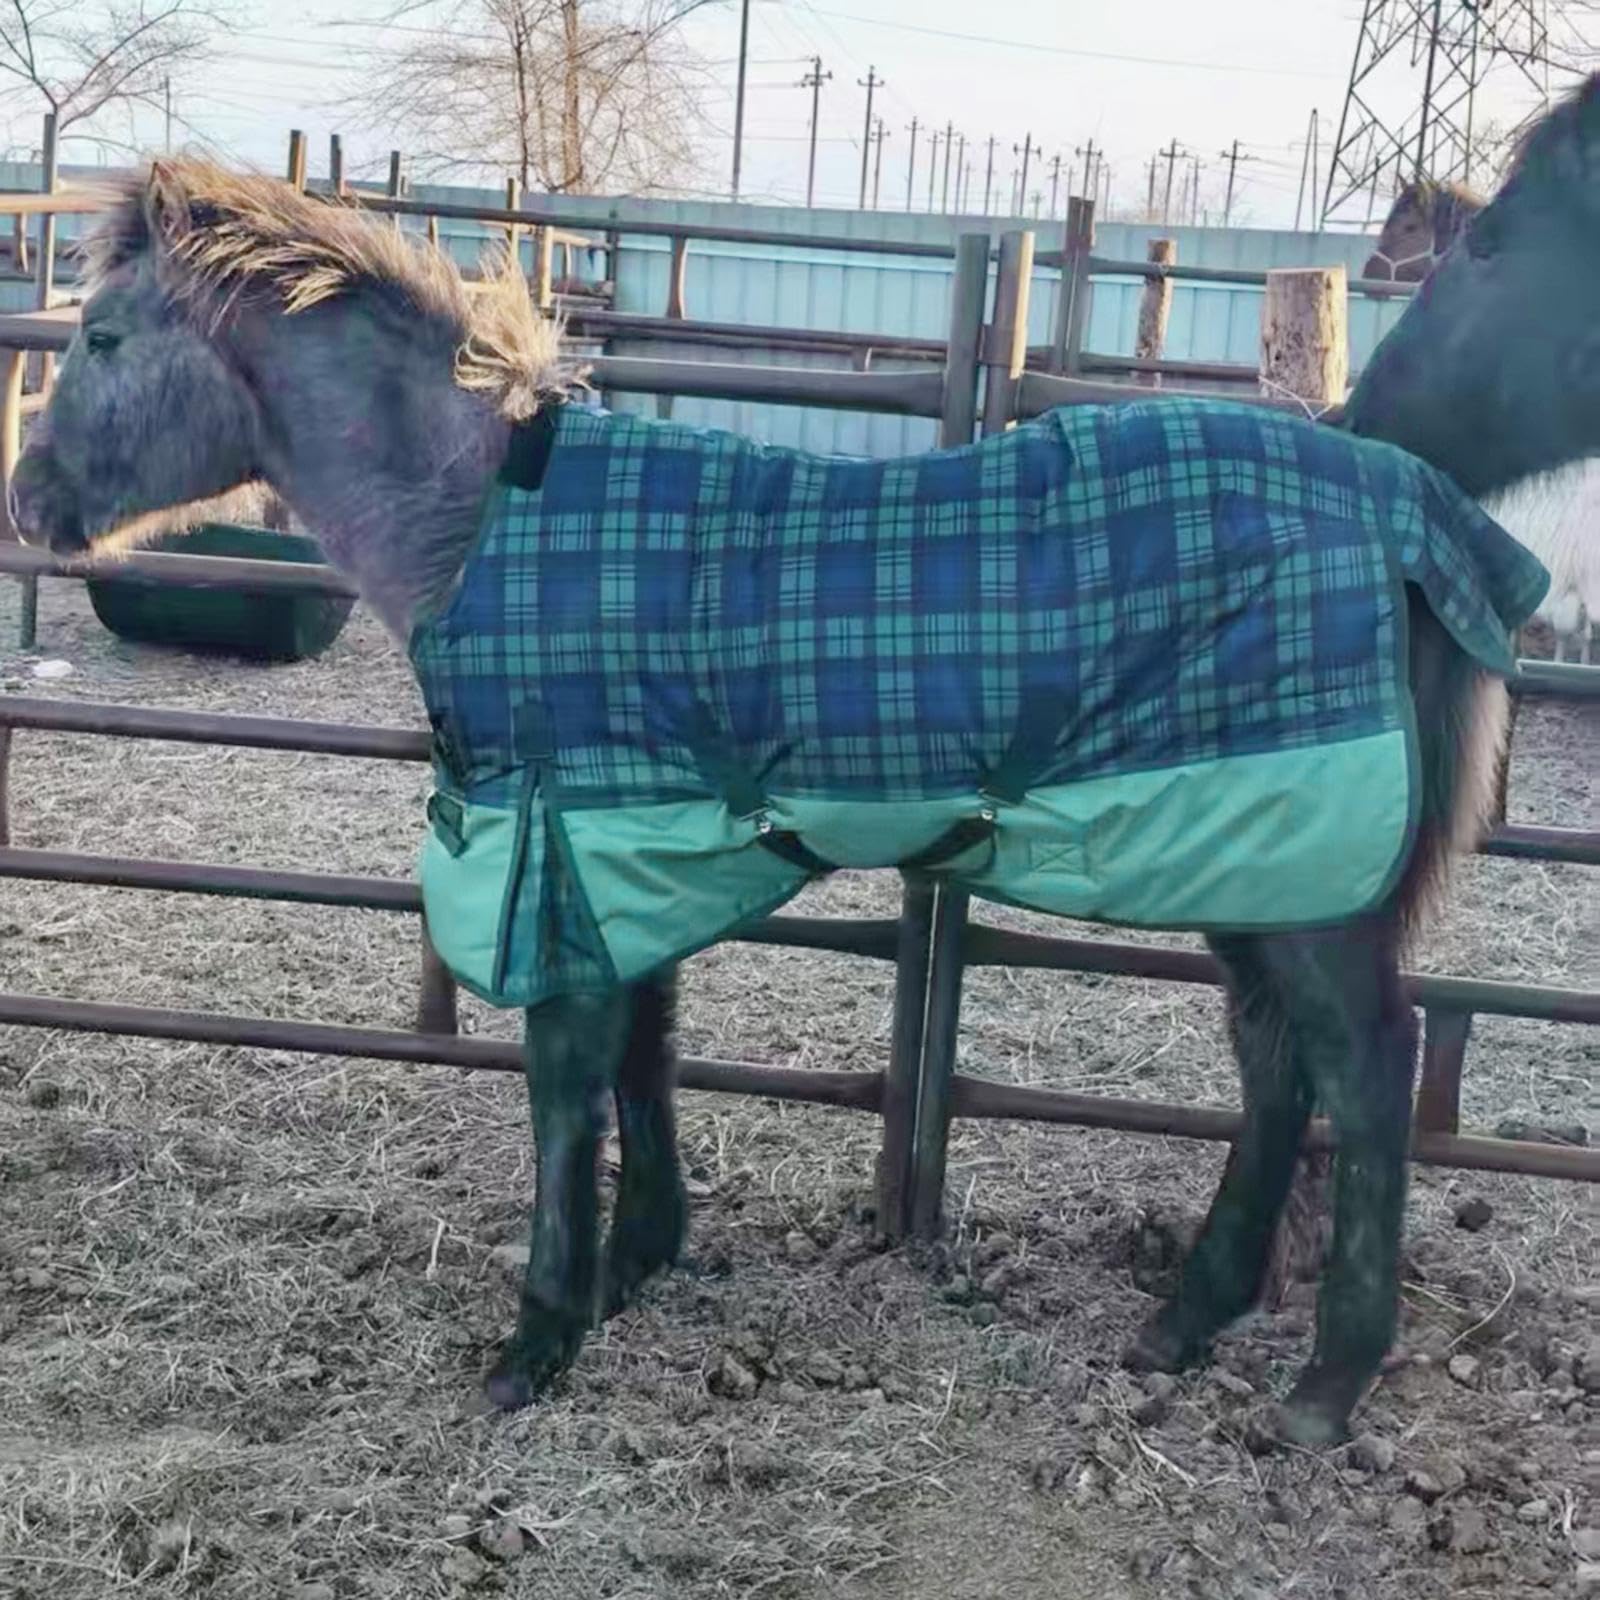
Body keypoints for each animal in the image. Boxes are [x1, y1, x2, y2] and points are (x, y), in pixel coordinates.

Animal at [13, 77, 1590, 1448]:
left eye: (101, 340)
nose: (32, 502)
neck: (495, 522)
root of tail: (1417, 505)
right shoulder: (623, 849)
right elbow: (644, 1047)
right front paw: (638, 1258)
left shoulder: (555, 851)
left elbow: (566, 1078)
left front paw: (540, 1333)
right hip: (1260, 855)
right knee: (1277, 1068)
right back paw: (1185, 1321)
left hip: (1309, 875)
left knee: (1365, 1066)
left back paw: (1327, 1382)